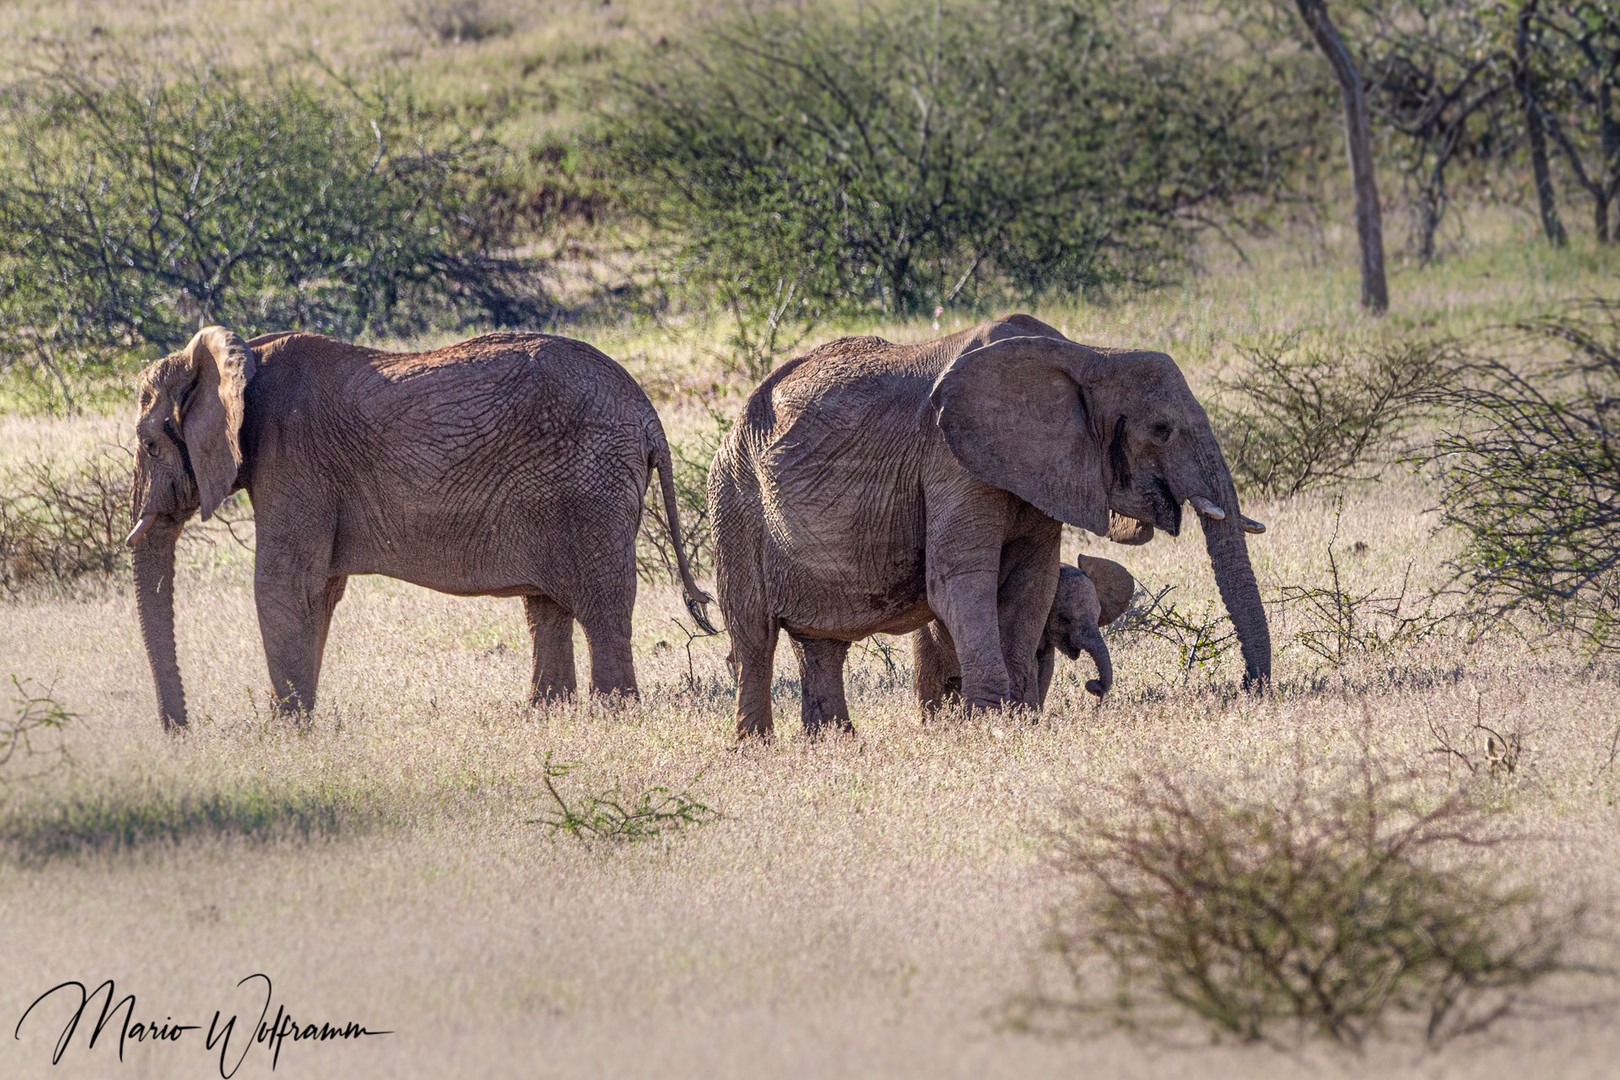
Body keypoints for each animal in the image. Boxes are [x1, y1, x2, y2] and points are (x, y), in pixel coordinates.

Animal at [126, 325, 709, 731]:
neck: (243, 355)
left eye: (150, 444)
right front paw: (300, 725)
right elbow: (320, 592)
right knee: (547, 606)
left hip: (590, 488)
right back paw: (546, 714)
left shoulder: (292, 459)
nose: (183, 733)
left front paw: (283, 733)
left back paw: (613, 715)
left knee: (601, 606)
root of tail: (649, 416)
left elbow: (283, 586)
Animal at [913, 557, 1140, 718]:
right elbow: (1031, 668)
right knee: (930, 683)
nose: (1094, 686)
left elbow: (1046, 668)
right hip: (927, 640)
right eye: (1064, 618)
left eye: (1098, 614)